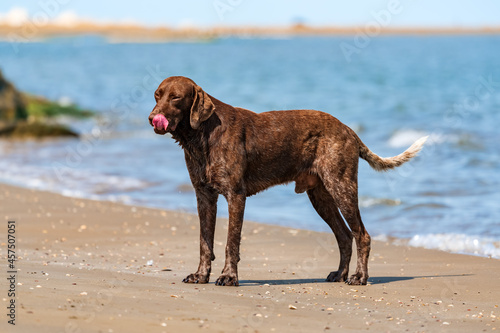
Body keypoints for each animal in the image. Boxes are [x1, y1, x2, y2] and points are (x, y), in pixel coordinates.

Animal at [147, 76, 426, 286]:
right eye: (157, 95)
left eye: (176, 97)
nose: (152, 118)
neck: (202, 135)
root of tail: (349, 130)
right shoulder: (204, 197)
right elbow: (205, 243)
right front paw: (201, 275)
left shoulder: (235, 196)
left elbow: (230, 243)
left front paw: (229, 277)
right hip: (321, 197)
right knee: (345, 236)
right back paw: (340, 274)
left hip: (342, 189)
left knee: (362, 236)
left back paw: (359, 277)